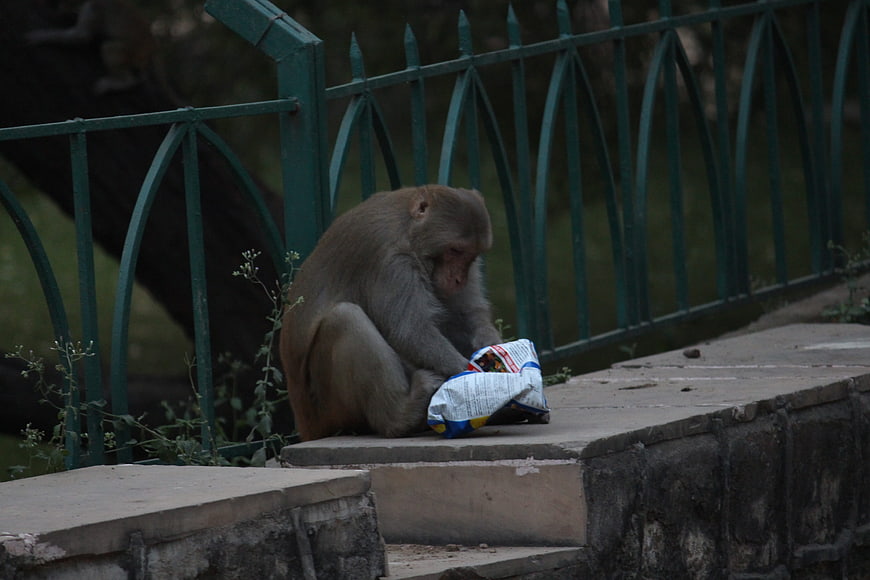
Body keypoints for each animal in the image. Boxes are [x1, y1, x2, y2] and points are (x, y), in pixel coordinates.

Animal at [26, 0, 157, 96]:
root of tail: (150, 49)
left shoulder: (93, 7)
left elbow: (81, 36)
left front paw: (42, 35)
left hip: (131, 51)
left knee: (109, 47)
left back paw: (122, 81)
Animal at [279, 185, 502, 441]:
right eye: (455, 250)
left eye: (471, 255)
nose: (458, 279)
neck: (408, 228)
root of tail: (305, 421)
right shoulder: (390, 259)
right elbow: (410, 332)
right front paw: (481, 379)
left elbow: (466, 315)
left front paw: (492, 346)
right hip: (327, 405)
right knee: (345, 317)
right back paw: (400, 417)